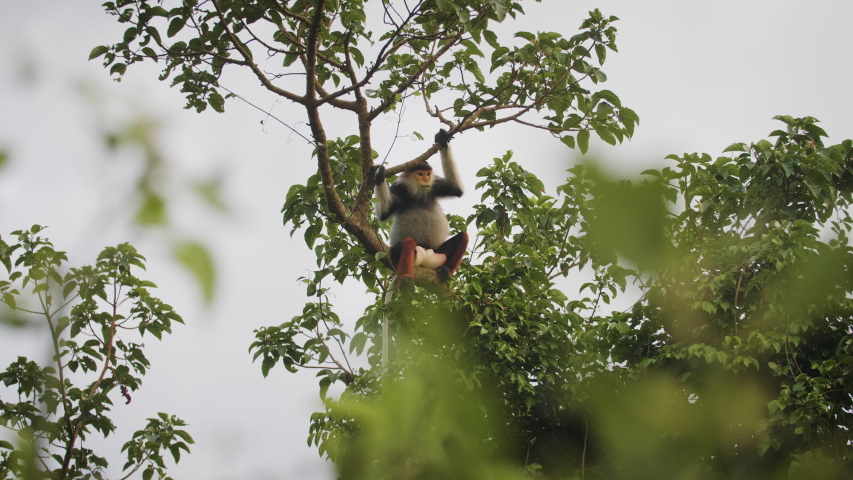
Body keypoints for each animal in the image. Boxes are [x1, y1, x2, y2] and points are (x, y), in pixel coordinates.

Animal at [371, 129, 468, 283]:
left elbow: (456, 189)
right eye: (420, 174)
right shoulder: (399, 190)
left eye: (428, 174)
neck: (417, 194)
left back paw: (446, 270)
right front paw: (378, 173)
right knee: (409, 243)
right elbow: (384, 213)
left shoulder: (434, 187)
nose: (427, 179)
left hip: (438, 253)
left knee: (464, 236)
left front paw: (441, 138)